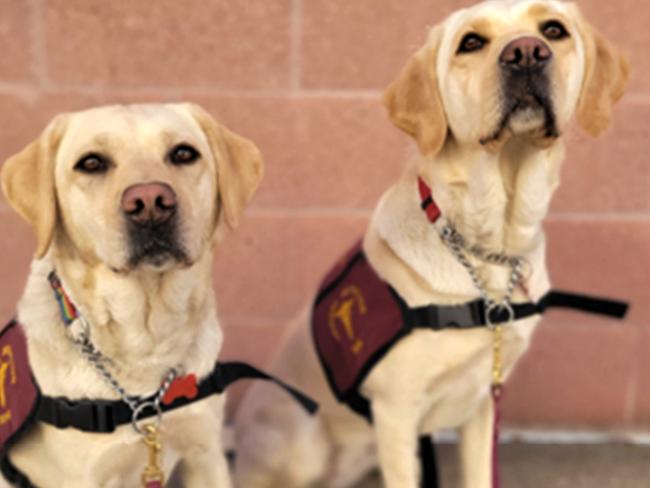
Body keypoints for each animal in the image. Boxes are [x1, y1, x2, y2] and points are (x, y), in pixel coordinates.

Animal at [1, 101, 264, 486]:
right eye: (91, 163)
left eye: (183, 153)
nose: (151, 201)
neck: (147, 341)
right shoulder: (86, 476)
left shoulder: (205, 454)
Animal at [232, 0, 624, 488]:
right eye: (470, 42)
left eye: (554, 30)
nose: (527, 53)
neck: (488, 246)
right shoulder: (396, 412)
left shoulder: (484, 403)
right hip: (304, 443)